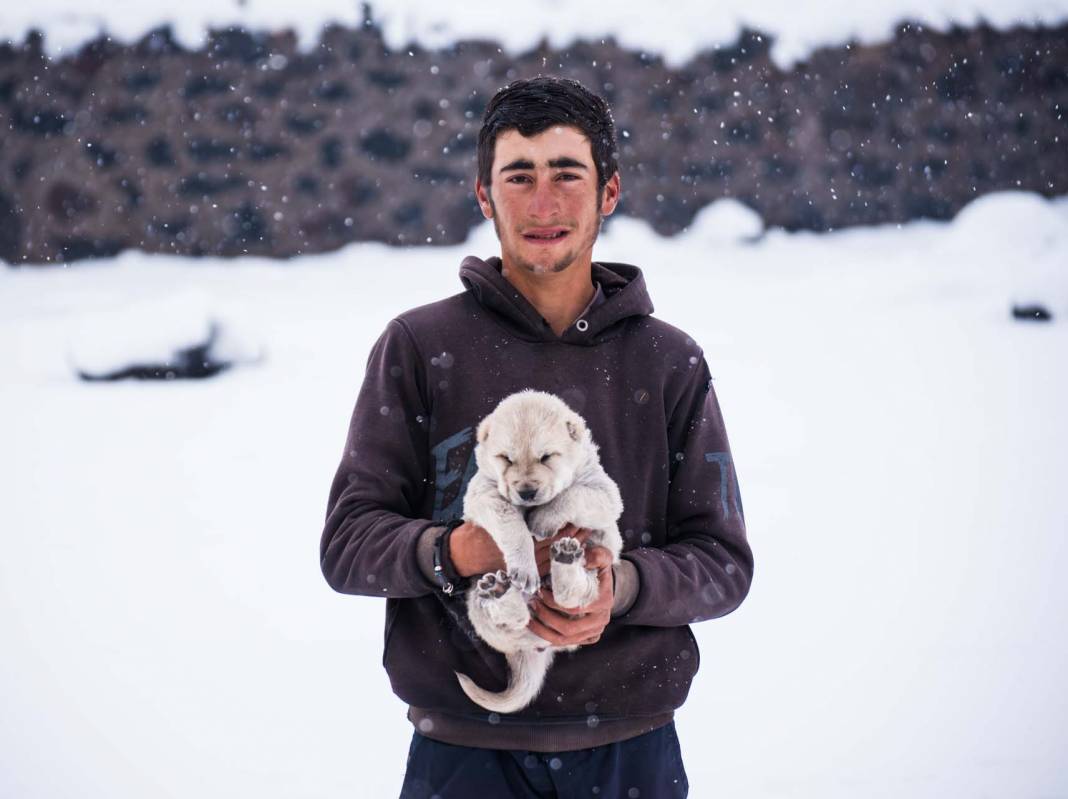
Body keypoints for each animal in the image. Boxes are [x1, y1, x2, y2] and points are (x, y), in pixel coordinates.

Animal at [452, 390, 623, 713]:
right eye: (505, 458)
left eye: (546, 457)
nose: (527, 492)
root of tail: (537, 649)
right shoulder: (484, 493)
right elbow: (511, 522)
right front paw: (525, 564)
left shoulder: (605, 492)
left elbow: (573, 494)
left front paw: (543, 520)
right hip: (476, 603)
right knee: (513, 620)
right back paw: (500, 591)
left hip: (594, 587)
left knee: (571, 596)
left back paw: (565, 558)